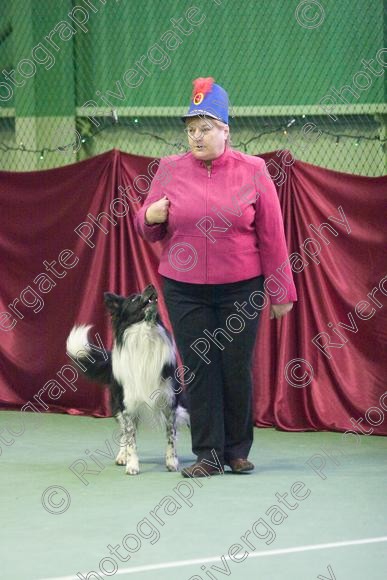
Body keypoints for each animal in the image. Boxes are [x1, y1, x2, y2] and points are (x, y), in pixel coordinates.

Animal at [66, 286, 189, 476]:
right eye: (133, 299)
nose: (151, 286)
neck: (146, 334)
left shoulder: (169, 403)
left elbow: (171, 435)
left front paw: (172, 462)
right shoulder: (128, 404)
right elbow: (131, 439)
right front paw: (132, 465)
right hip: (118, 403)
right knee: (124, 432)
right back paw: (122, 456)